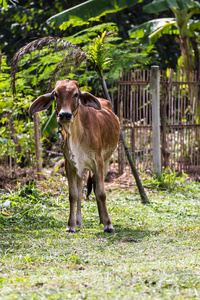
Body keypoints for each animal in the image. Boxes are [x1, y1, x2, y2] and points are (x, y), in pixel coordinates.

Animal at [28, 79, 119, 232]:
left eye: (76, 94)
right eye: (55, 94)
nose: (65, 115)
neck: (77, 135)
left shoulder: (98, 161)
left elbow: (101, 192)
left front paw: (108, 224)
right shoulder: (70, 164)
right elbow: (73, 194)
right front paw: (71, 224)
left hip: (106, 161)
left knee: (95, 187)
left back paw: (101, 219)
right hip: (80, 169)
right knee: (80, 191)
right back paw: (79, 221)